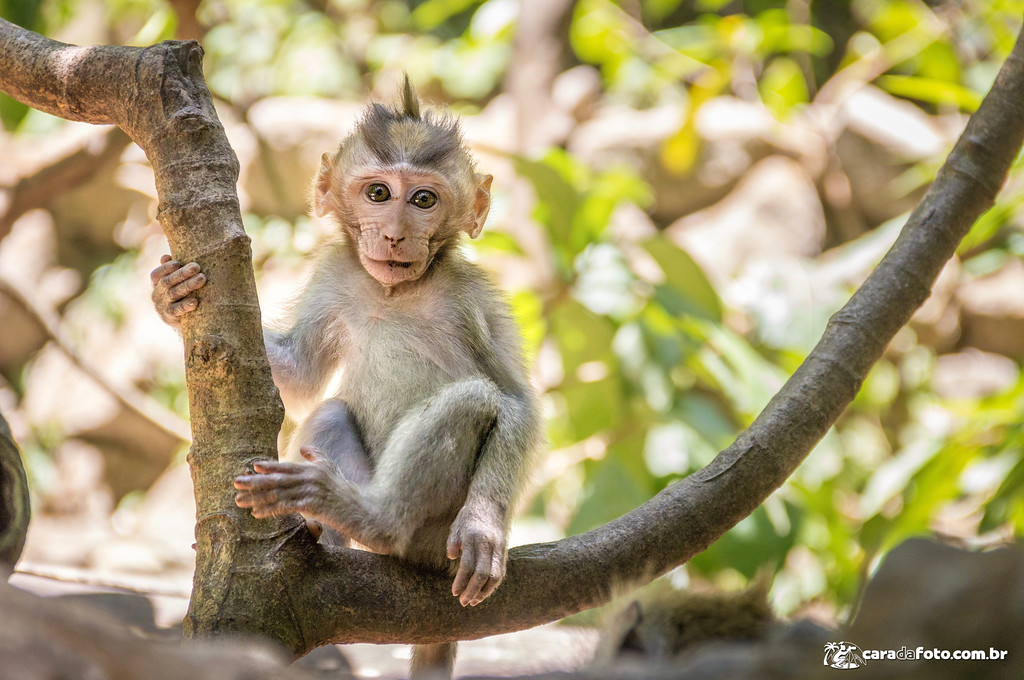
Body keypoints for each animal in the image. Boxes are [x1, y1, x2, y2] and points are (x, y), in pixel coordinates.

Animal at [149, 78, 544, 675]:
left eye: (423, 200)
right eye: (378, 193)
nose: (395, 234)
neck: (395, 291)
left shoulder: (471, 296)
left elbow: (517, 403)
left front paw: (484, 529)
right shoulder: (337, 274)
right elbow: (301, 376)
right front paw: (171, 297)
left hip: (431, 539)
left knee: (473, 400)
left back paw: (368, 516)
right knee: (333, 410)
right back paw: (324, 534)